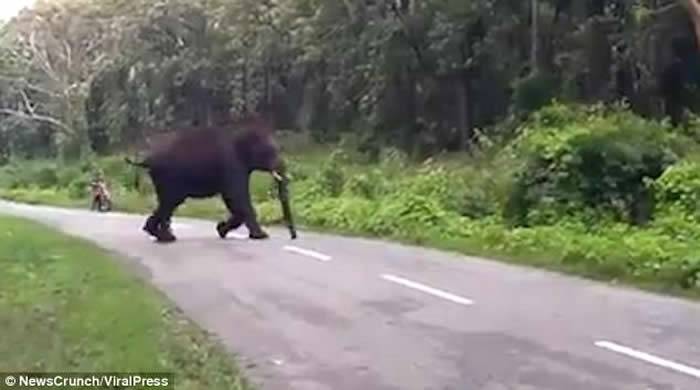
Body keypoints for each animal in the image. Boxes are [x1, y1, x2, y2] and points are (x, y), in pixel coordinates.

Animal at [124, 114, 296, 244]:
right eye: (272, 151)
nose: (293, 236)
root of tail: (148, 158)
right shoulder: (231, 164)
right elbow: (236, 197)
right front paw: (262, 236)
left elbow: (233, 200)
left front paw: (221, 230)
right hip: (169, 177)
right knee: (169, 203)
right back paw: (166, 238)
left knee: (167, 204)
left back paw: (159, 234)